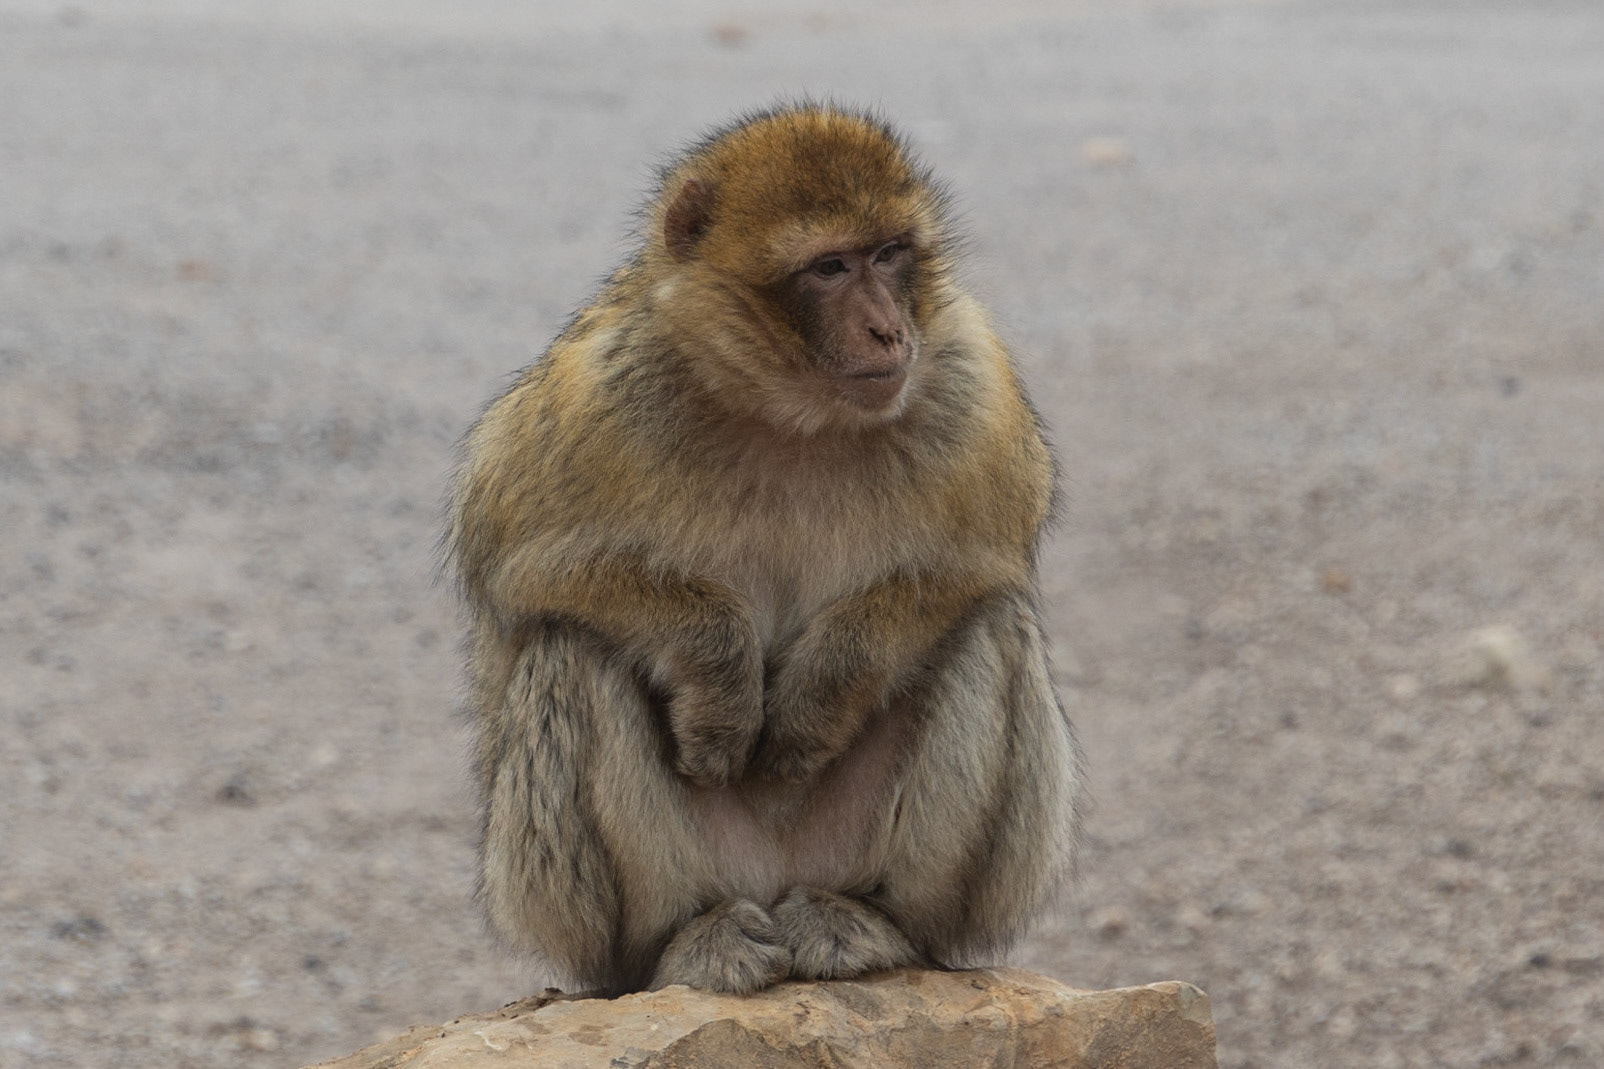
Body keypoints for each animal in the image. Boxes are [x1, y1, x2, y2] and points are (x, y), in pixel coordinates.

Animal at [447, 103, 1081, 997]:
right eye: (830, 267)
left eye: (890, 253)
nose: (889, 330)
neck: (788, 412)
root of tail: (777, 879)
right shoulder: (597, 385)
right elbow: (516, 564)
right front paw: (718, 678)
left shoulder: (968, 370)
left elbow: (981, 566)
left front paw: (818, 692)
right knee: (570, 645)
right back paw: (684, 940)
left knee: (989, 627)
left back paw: (877, 922)